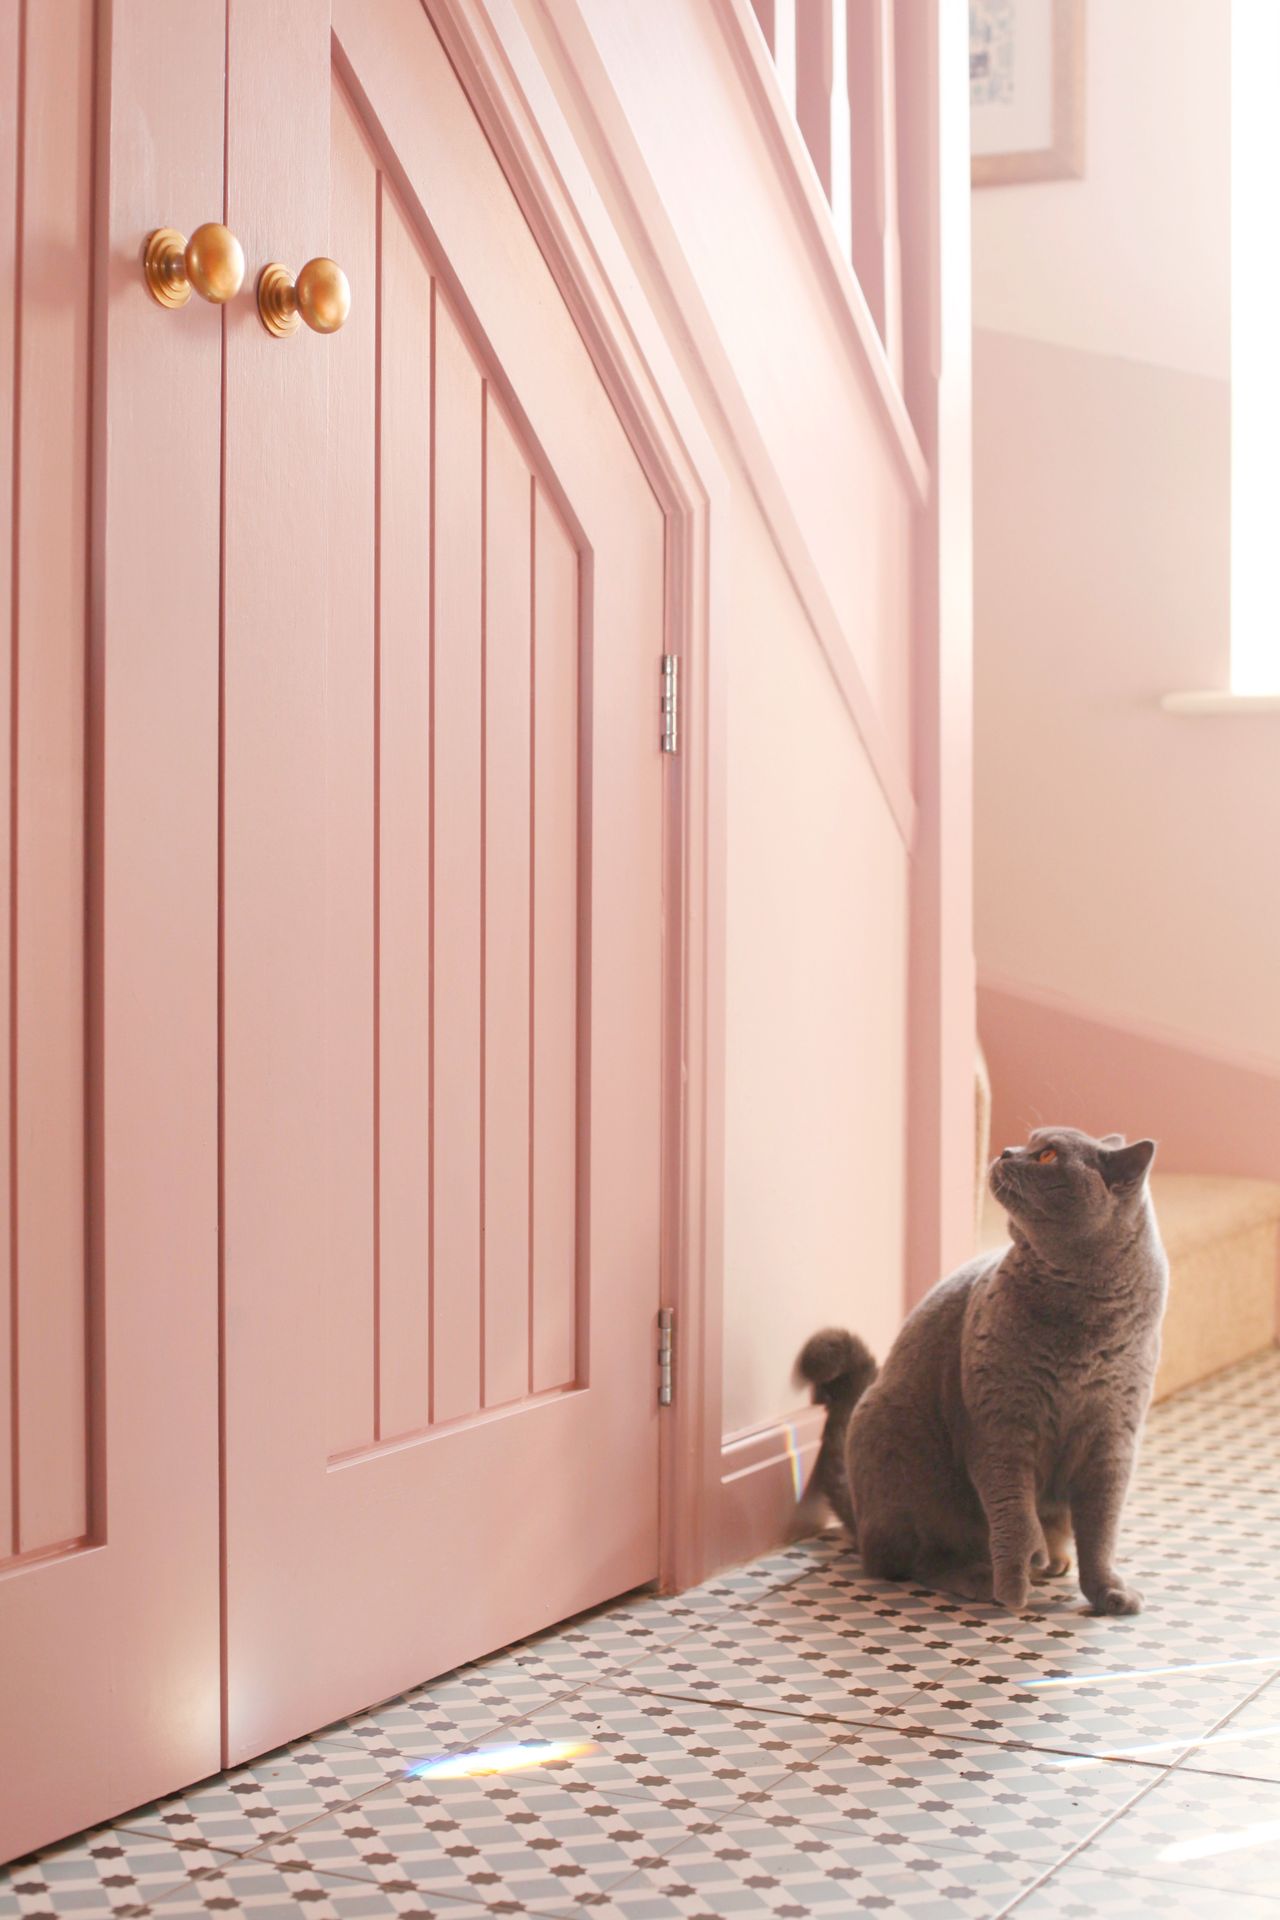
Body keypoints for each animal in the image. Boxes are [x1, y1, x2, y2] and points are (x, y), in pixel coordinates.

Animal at [802, 1128, 1174, 1612]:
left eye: (1048, 1154)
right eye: (1031, 1142)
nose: (1007, 1151)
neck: (1082, 1314)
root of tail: (861, 1521)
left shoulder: (1112, 1436)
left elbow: (1100, 1529)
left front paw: (1109, 1593)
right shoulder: (1001, 1425)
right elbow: (1013, 1512)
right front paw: (1015, 1585)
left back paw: (1053, 1562)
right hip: (894, 1443)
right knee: (907, 1560)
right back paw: (982, 1577)